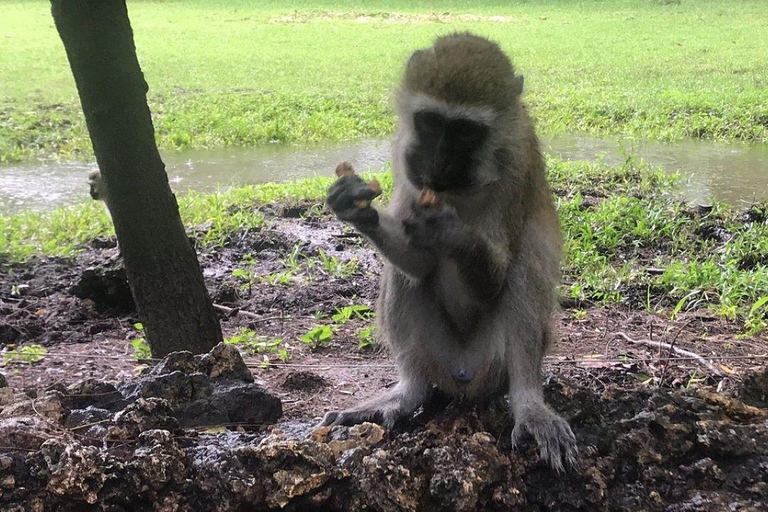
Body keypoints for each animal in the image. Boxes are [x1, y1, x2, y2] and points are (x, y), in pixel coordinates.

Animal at [320, 33, 580, 472]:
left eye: (465, 131)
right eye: (431, 121)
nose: (438, 162)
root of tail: (462, 375)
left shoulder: (517, 163)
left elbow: (495, 276)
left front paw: (451, 232)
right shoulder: (405, 156)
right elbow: (420, 262)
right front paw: (355, 206)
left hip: (491, 363)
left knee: (524, 272)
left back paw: (529, 403)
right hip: (436, 358)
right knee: (405, 280)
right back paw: (407, 392)